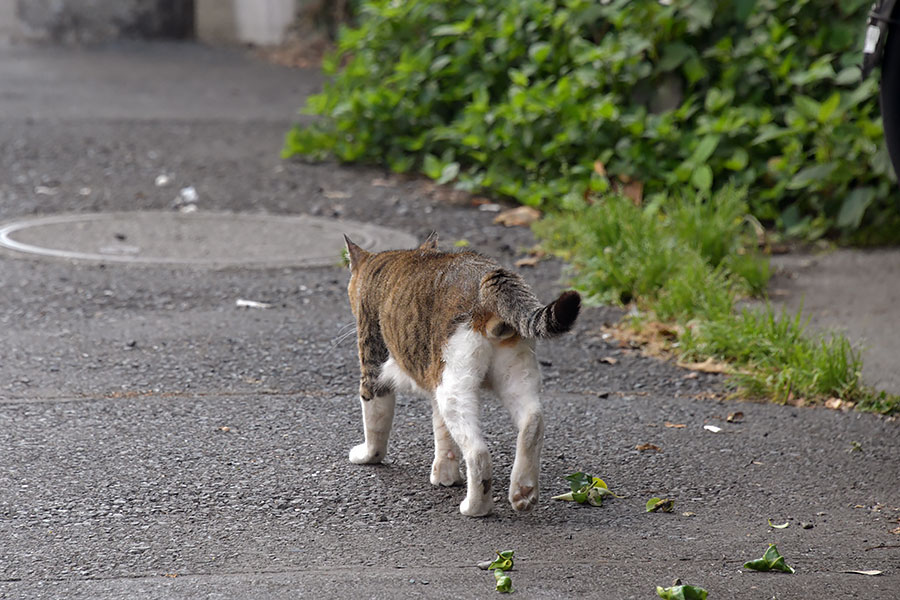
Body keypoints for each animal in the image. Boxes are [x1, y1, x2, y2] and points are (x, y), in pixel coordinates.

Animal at [342, 233, 580, 516]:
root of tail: (487, 275)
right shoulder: (434, 379)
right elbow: (442, 433)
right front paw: (445, 475)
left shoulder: (374, 369)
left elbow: (375, 425)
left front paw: (367, 456)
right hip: (513, 374)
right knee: (533, 422)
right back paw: (523, 491)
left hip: (454, 387)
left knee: (478, 452)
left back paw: (476, 506)